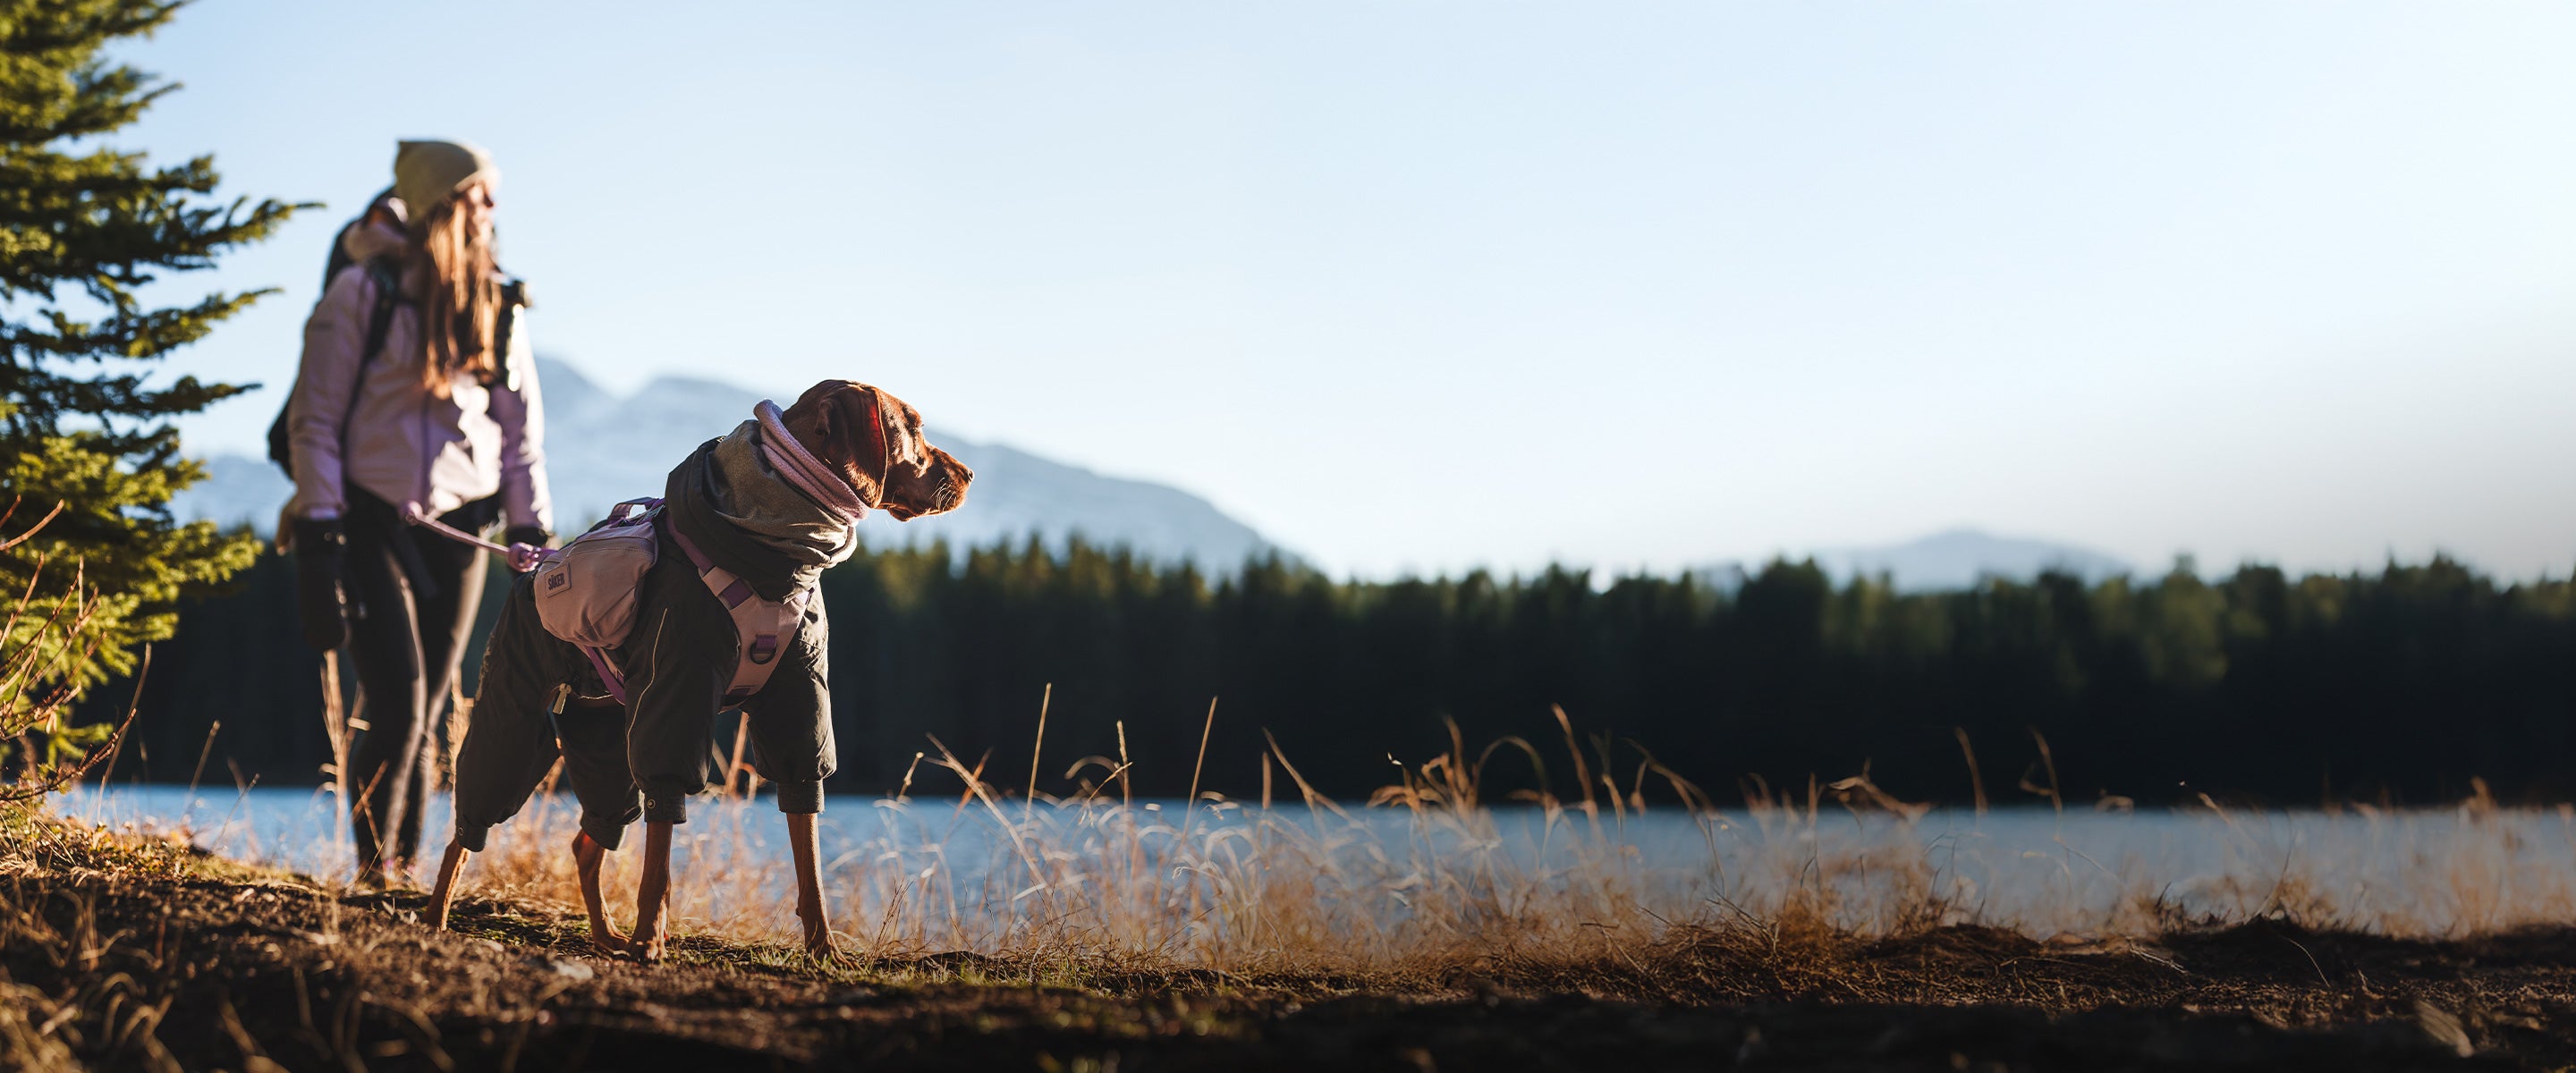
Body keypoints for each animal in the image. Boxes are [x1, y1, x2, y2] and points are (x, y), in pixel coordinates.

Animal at [428, 378, 968, 951]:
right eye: (913, 426)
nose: (968, 475)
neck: (776, 551)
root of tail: (536, 566)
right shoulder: (677, 695)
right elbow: (661, 855)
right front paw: (649, 939)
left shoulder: (799, 699)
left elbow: (809, 851)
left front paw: (824, 946)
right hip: (515, 714)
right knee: (468, 824)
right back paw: (438, 914)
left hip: (606, 738)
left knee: (588, 839)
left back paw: (605, 934)